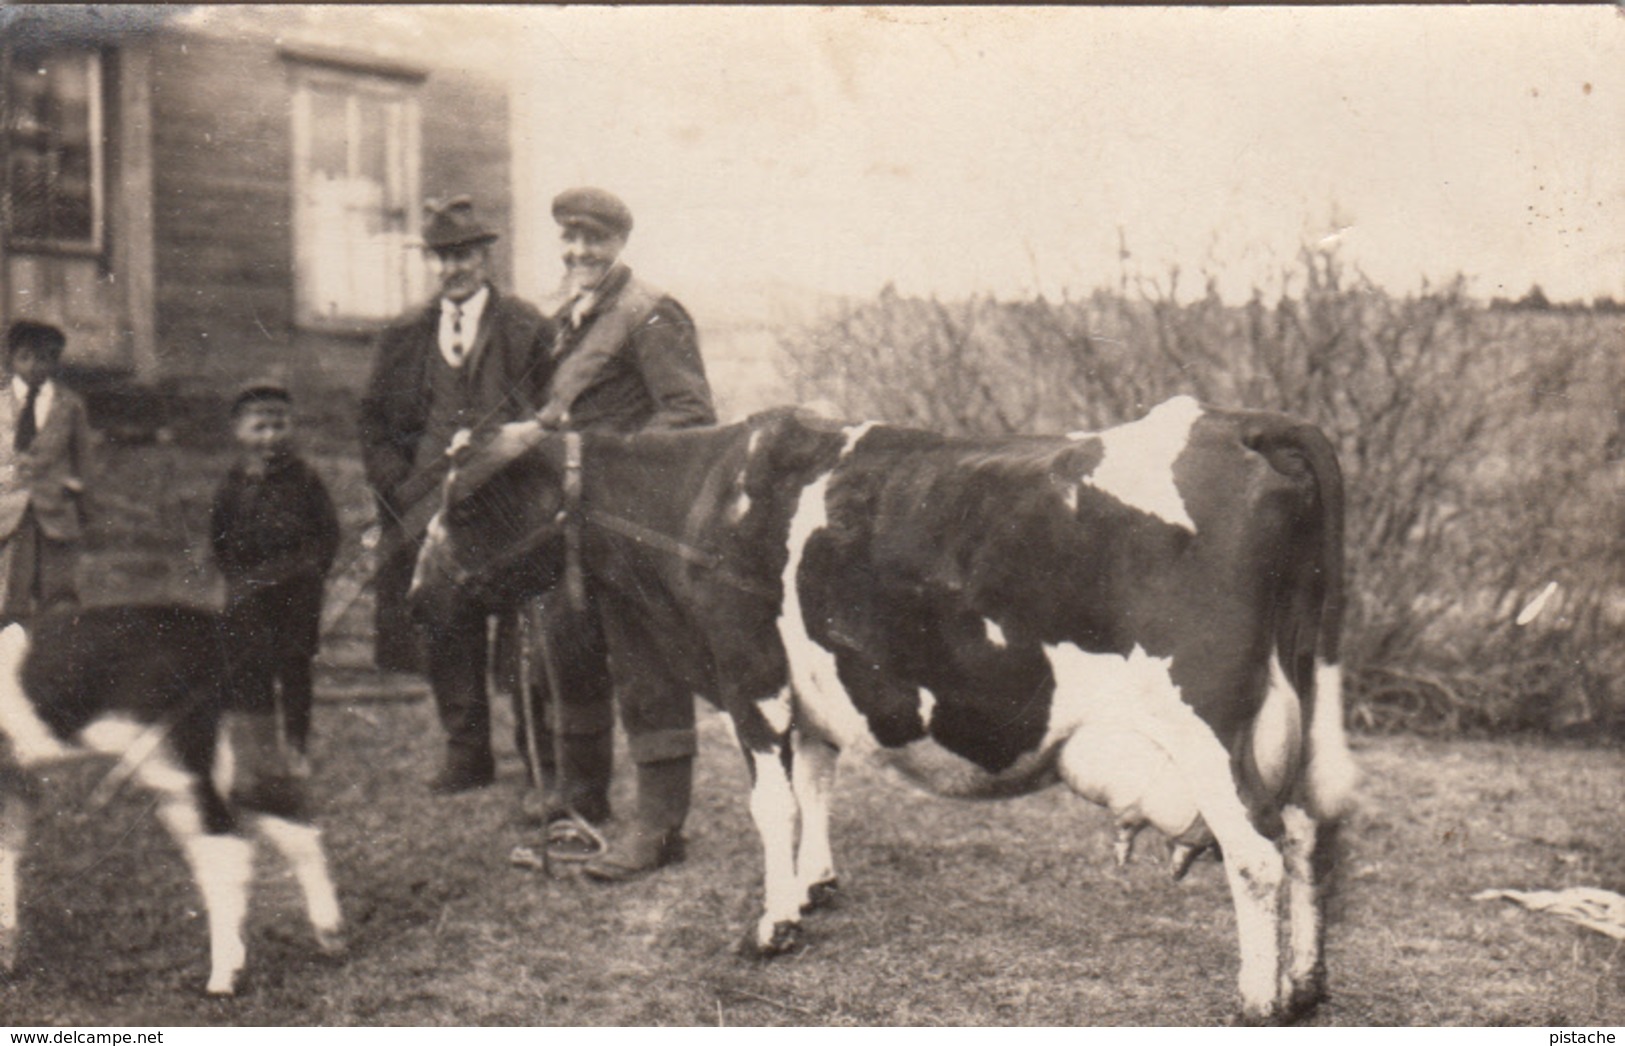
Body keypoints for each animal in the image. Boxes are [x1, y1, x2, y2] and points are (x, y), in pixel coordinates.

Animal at [0, 600, 342, 994]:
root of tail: (227, 629)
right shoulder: (14, 785)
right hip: (244, 743)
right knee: (289, 820)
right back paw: (328, 934)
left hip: (181, 755)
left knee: (226, 845)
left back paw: (223, 977)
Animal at [416, 397, 1358, 1020]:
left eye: (465, 504)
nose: (420, 596)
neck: (700, 498)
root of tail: (1232, 423)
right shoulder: (812, 690)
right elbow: (817, 785)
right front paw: (814, 887)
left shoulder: (749, 678)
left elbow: (772, 805)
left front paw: (770, 926)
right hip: (1296, 711)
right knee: (1307, 832)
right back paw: (1304, 986)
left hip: (1206, 724)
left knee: (1256, 857)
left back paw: (1255, 1001)